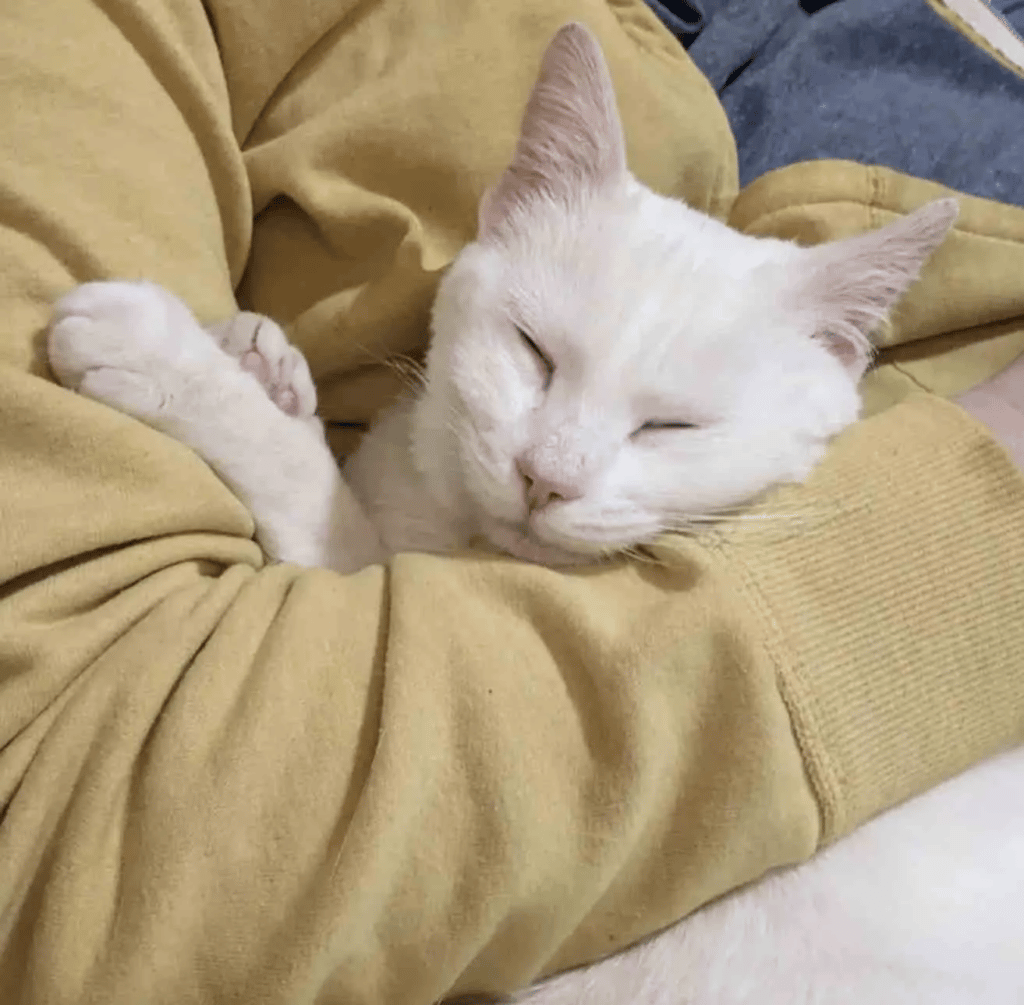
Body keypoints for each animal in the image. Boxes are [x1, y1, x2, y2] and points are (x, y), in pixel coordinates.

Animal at [48, 19, 1024, 1003]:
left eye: (671, 426)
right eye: (534, 352)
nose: (545, 476)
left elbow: (306, 485)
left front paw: (170, 356)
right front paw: (262, 360)